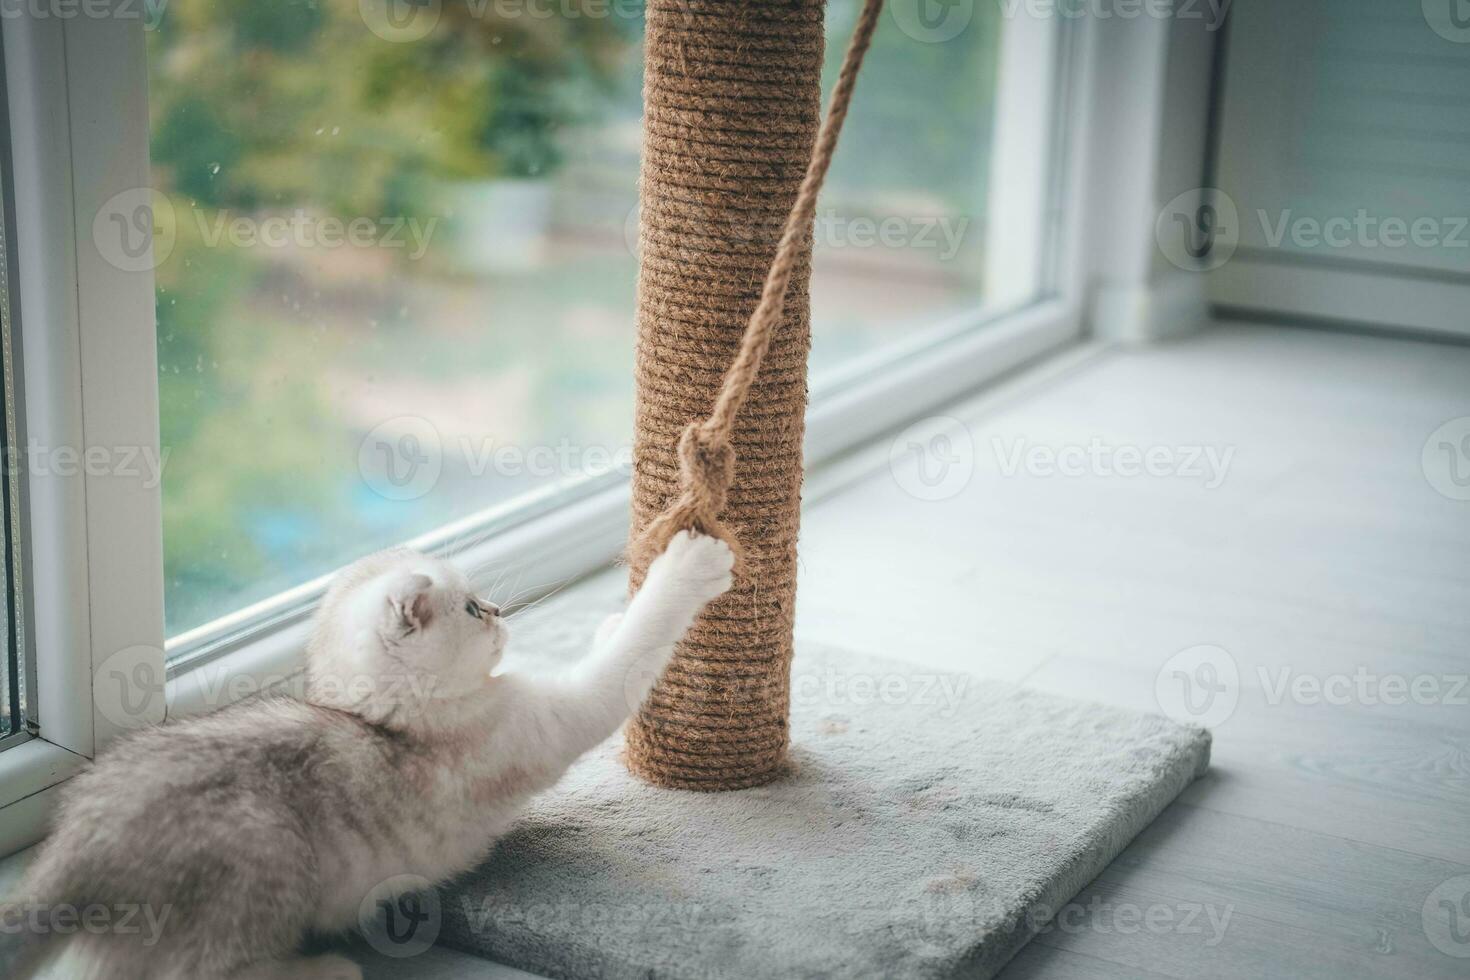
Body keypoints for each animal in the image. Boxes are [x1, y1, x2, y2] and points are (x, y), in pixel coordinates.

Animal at [2, 531, 732, 975]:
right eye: (472, 609)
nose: (499, 611)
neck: (398, 722)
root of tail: (71, 862)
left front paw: (611, 616)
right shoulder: (545, 720)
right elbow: (630, 656)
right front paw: (690, 567)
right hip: (265, 852)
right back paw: (324, 968)